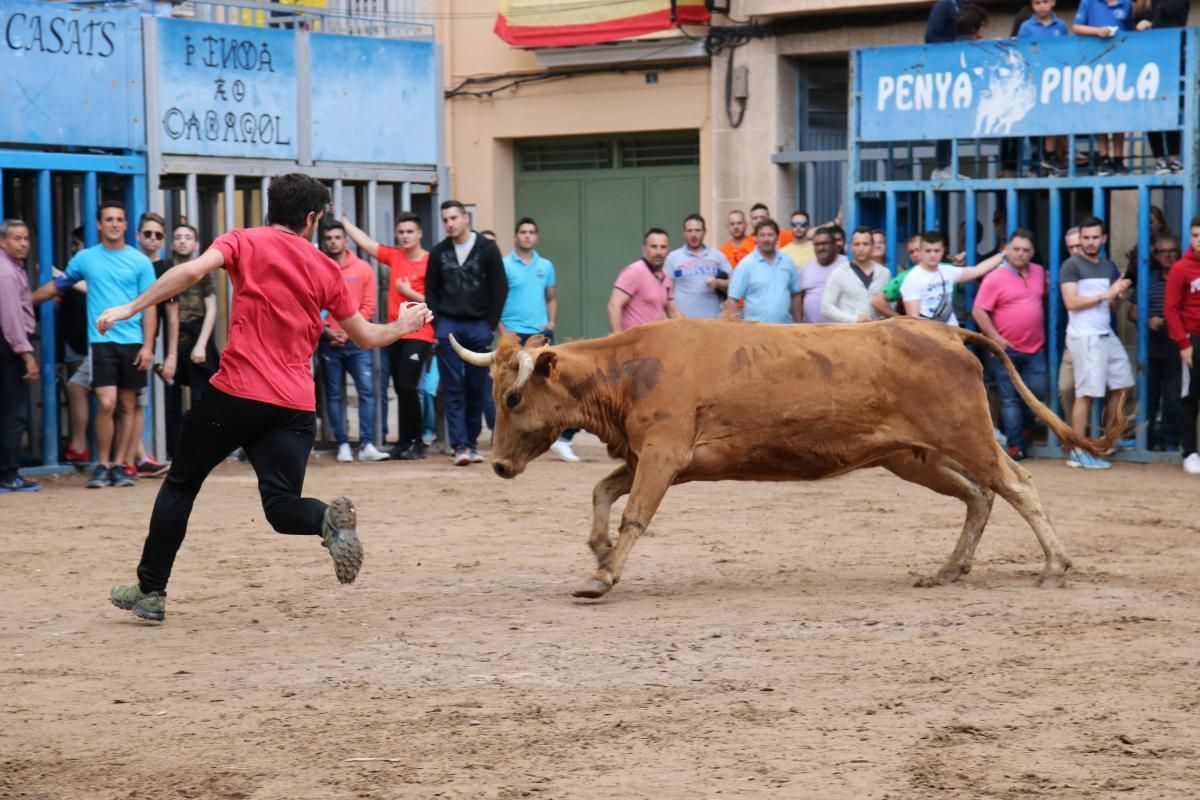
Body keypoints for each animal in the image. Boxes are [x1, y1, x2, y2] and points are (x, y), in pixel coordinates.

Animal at [448, 319, 1113, 599]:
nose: (499, 465)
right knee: (978, 494)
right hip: (911, 457)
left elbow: (634, 512)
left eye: (513, 396)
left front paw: (604, 574)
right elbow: (603, 493)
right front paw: (598, 548)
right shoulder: (647, 458)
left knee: (1017, 485)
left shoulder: (662, 456)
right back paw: (949, 570)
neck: (632, 369)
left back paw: (1055, 566)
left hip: (966, 434)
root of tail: (944, 331)